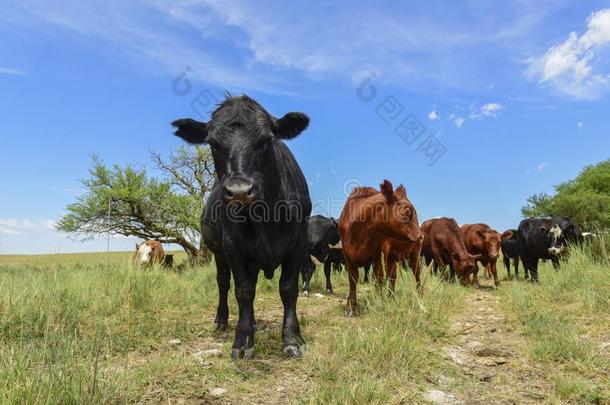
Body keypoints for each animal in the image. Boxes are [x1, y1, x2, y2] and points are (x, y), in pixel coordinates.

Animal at [173, 95, 312, 360]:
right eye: (212, 143)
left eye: (267, 140)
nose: (239, 191)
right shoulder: (233, 246)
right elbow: (243, 291)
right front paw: (243, 341)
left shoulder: (298, 244)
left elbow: (288, 289)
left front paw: (292, 339)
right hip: (218, 253)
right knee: (224, 283)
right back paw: (223, 320)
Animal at [338, 180, 422, 316]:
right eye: (406, 210)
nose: (420, 235)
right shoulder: (347, 256)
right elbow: (352, 280)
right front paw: (351, 308)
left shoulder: (378, 255)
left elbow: (378, 280)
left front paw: (378, 303)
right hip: (392, 258)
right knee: (393, 277)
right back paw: (391, 297)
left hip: (415, 253)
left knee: (416, 273)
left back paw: (420, 294)